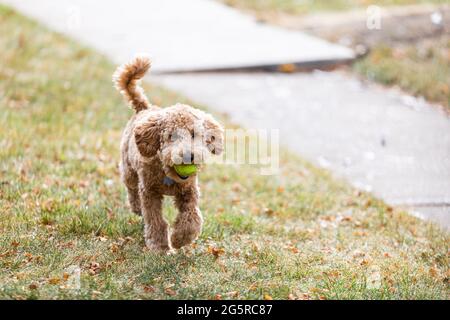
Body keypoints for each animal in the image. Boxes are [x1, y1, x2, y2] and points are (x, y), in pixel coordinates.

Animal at [113, 57, 224, 252]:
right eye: (171, 136)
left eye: (194, 134)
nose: (188, 156)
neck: (168, 174)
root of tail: (144, 108)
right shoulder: (149, 192)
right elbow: (155, 220)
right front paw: (159, 246)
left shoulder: (189, 191)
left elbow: (192, 217)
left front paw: (180, 239)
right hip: (128, 169)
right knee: (131, 188)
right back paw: (136, 207)